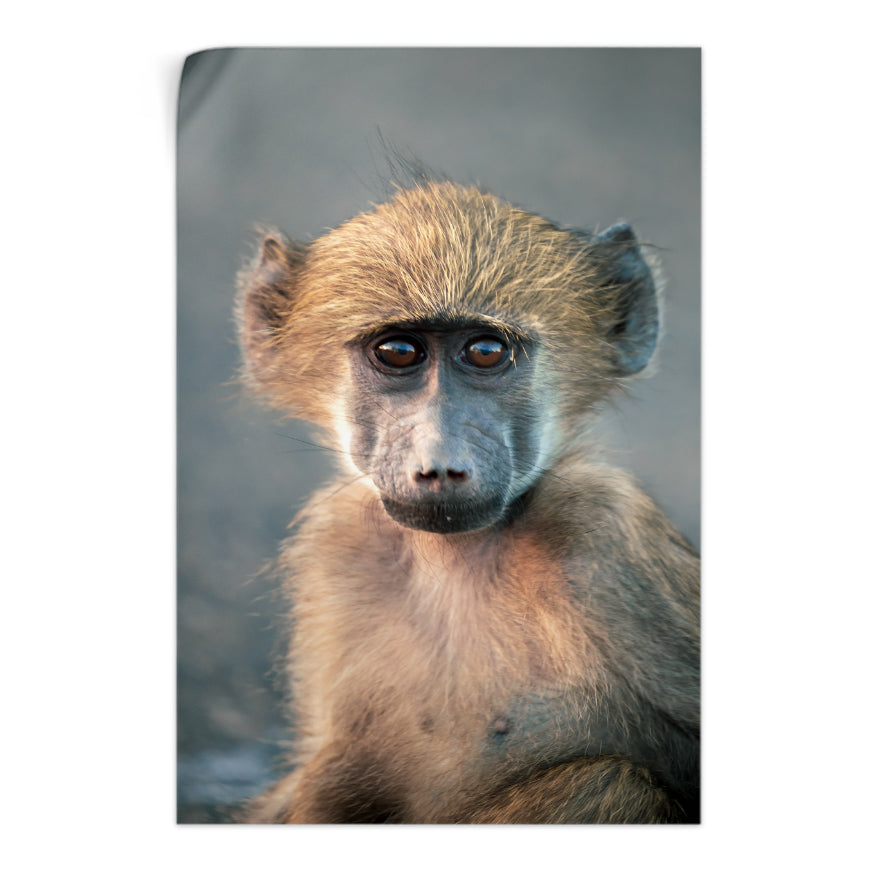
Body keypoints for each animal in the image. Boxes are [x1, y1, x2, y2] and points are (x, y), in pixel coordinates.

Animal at [235, 179, 700, 824]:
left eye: (484, 352)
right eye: (398, 352)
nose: (440, 465)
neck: (451, 560)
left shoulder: (607, 536)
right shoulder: (336, 545)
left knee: (603, 780)